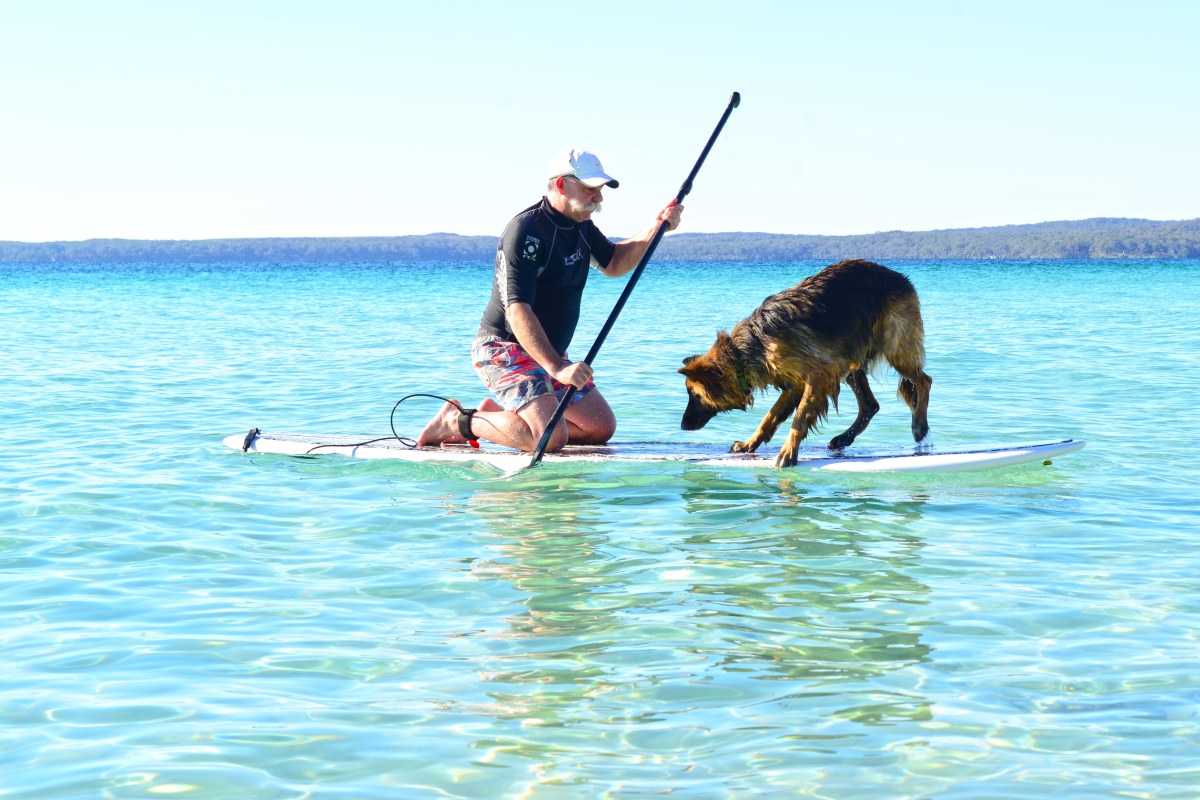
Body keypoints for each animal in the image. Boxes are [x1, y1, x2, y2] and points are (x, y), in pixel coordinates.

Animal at [678, 259, 932, 467]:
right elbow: (771, 417)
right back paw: (844, 438)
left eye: (694, 395)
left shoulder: (818, 375)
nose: (682, 426)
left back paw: (919, 426)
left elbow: (799, 418)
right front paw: (749, 444)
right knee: (870, 405)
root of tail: (899, 276)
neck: (745, 352)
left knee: (924, 381)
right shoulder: (794, 384)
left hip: (895, 351)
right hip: (850, 360)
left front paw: (788, 452)